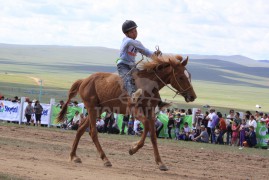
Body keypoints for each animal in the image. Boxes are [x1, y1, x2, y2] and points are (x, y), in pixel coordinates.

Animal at [57, 54, 195, 171]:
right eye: (181, 77)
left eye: (189, 76)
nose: (193, 96)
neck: (147, 84)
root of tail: (84, 80)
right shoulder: (134, 110)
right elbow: (145, 127)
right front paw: (133, 149)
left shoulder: (150, 112)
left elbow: (153, 136)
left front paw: (160, 163)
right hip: (91, 108)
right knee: (93, 132)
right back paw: (105, 159)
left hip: (98, 110)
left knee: (80, 129)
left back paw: (74, 156)